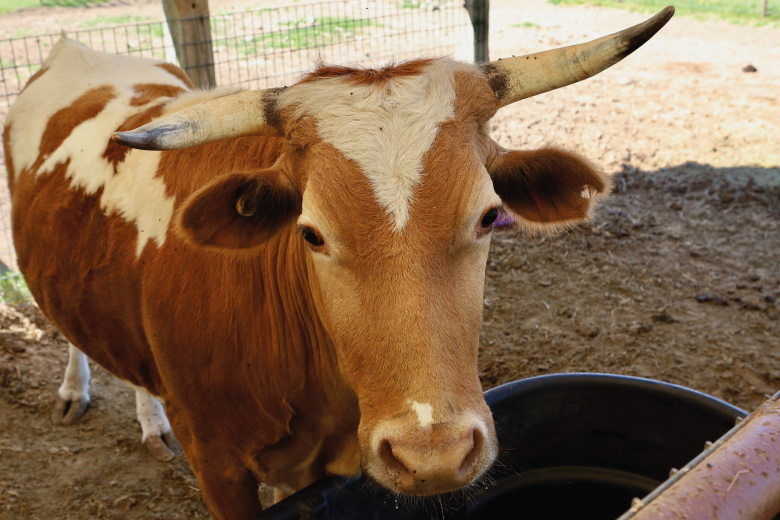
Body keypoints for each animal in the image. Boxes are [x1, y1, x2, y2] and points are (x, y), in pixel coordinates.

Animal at [3, 6, 672, 516]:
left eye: (488, 216)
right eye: (311, 234)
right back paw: (75, 390)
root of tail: (75, 51)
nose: (433, 455)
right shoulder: (218, 469)